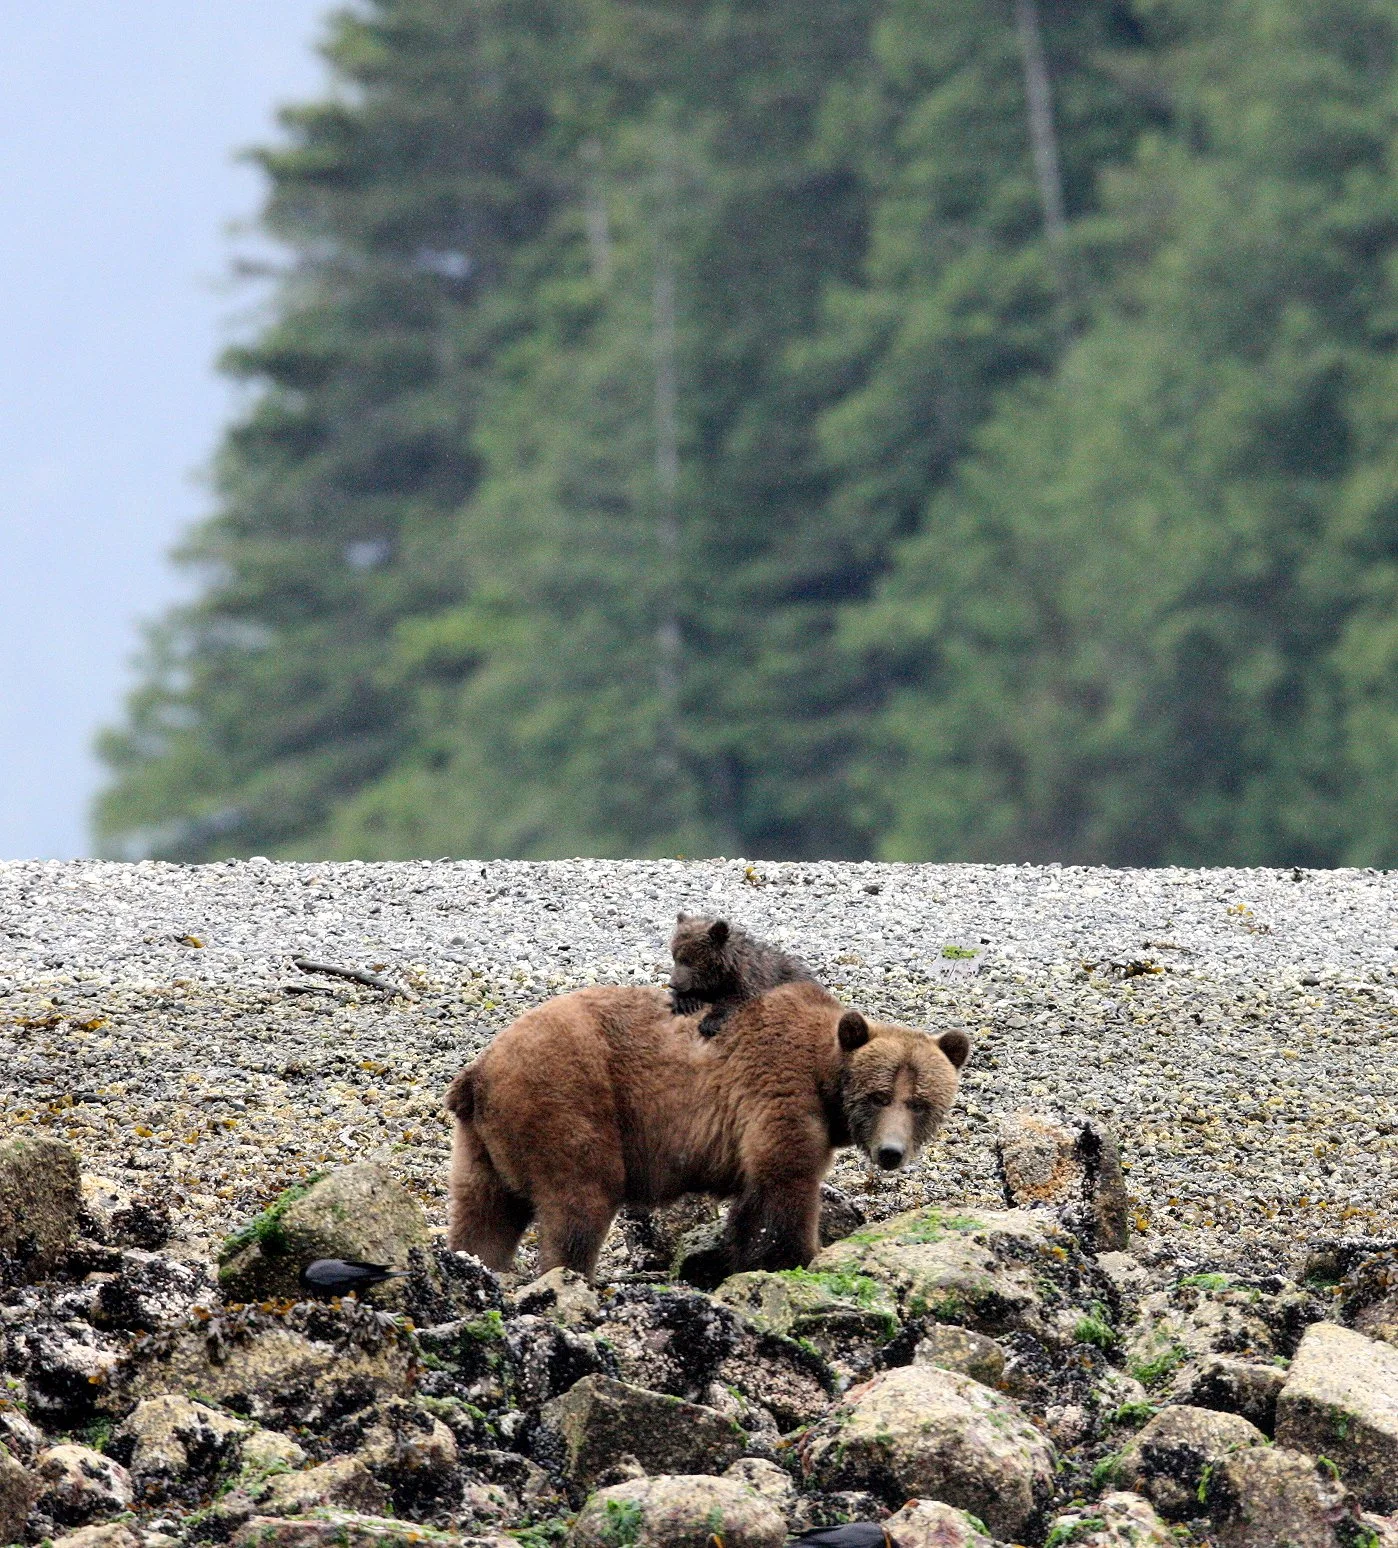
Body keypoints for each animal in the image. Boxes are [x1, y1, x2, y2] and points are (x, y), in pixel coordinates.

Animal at [444, 978, 970, 1282]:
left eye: (919, 1103)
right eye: (879, 1096)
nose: (891, 1152)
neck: (826, 1077)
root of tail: (479, 1071)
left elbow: (752, 1206)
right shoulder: (778, 1090)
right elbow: (785, 1185)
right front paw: (798, 1256)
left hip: (483, 1139)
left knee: (484, 1212)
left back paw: (476, 1263)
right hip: (566, 1096)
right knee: (580, 1196)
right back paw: (568, 1274)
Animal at [668, 912, 817, 1037]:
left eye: (689, 960)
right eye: (674, 956)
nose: (672, 984)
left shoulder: (751, 980)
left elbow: (738, 1000)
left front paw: (710, 1022)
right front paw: (687, 1002)